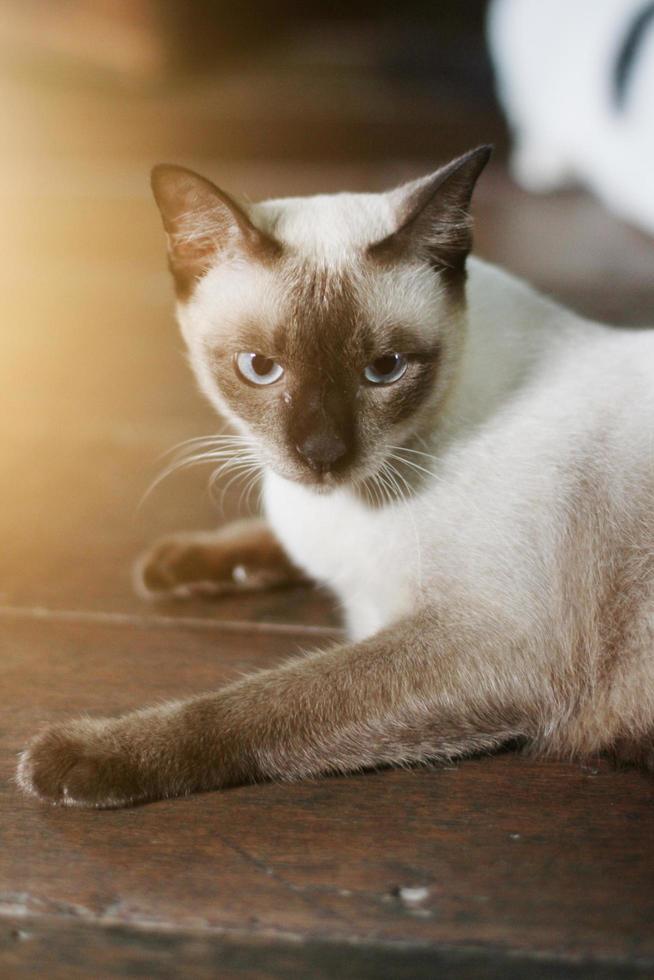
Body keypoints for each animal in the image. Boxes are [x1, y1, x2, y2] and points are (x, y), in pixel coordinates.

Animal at [15, 144, 654, 804]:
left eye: (386, 369)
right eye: (259, 367)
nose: (322, 452)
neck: (350, 501)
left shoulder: (486, 641)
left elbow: (254, 705)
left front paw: (75, 757)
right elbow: (265, 542)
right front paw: (176, 565)